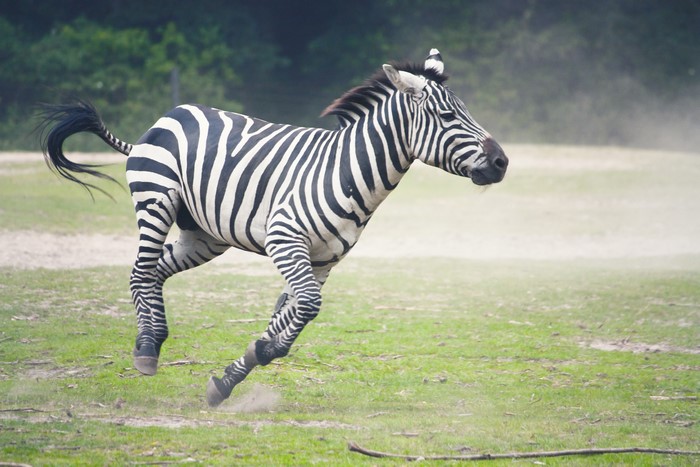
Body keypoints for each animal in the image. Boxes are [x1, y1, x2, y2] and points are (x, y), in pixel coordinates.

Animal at [40, 49, 508, 407]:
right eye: (447, 115)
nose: (502, 162)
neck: (347, 173)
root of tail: (172, 113)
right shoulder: (285, 240)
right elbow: (307, 307)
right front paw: (259, 352)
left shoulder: (323, 260)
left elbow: (292, 313)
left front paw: (234, 374)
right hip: (156, 200)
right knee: (140, 270)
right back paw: (146, 351)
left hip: (204, 236)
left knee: (154, 272)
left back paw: (153, 341)